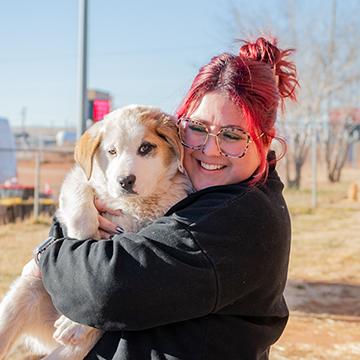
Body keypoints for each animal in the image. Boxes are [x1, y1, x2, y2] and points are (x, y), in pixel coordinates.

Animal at [0, 105, 191, 360]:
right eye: (112, 151)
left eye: (146, 148)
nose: (125, 181)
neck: (133, 204)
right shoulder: (79, 178)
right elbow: (81, 199)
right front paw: (82, 238)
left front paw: (76, 322)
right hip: (22, 295)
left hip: (74, 350)